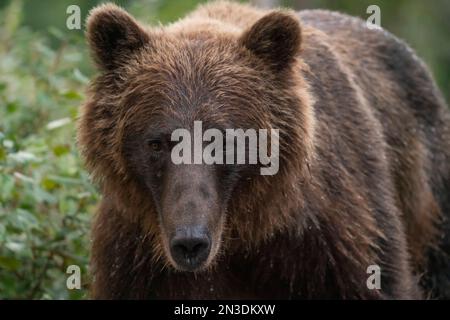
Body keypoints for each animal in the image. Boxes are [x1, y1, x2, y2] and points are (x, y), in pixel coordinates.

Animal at [77, 1, 450, 298]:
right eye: (156, 142)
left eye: (222, 140)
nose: (190, 241)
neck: (246, 232)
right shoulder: (135, 255)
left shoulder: (340, 238)